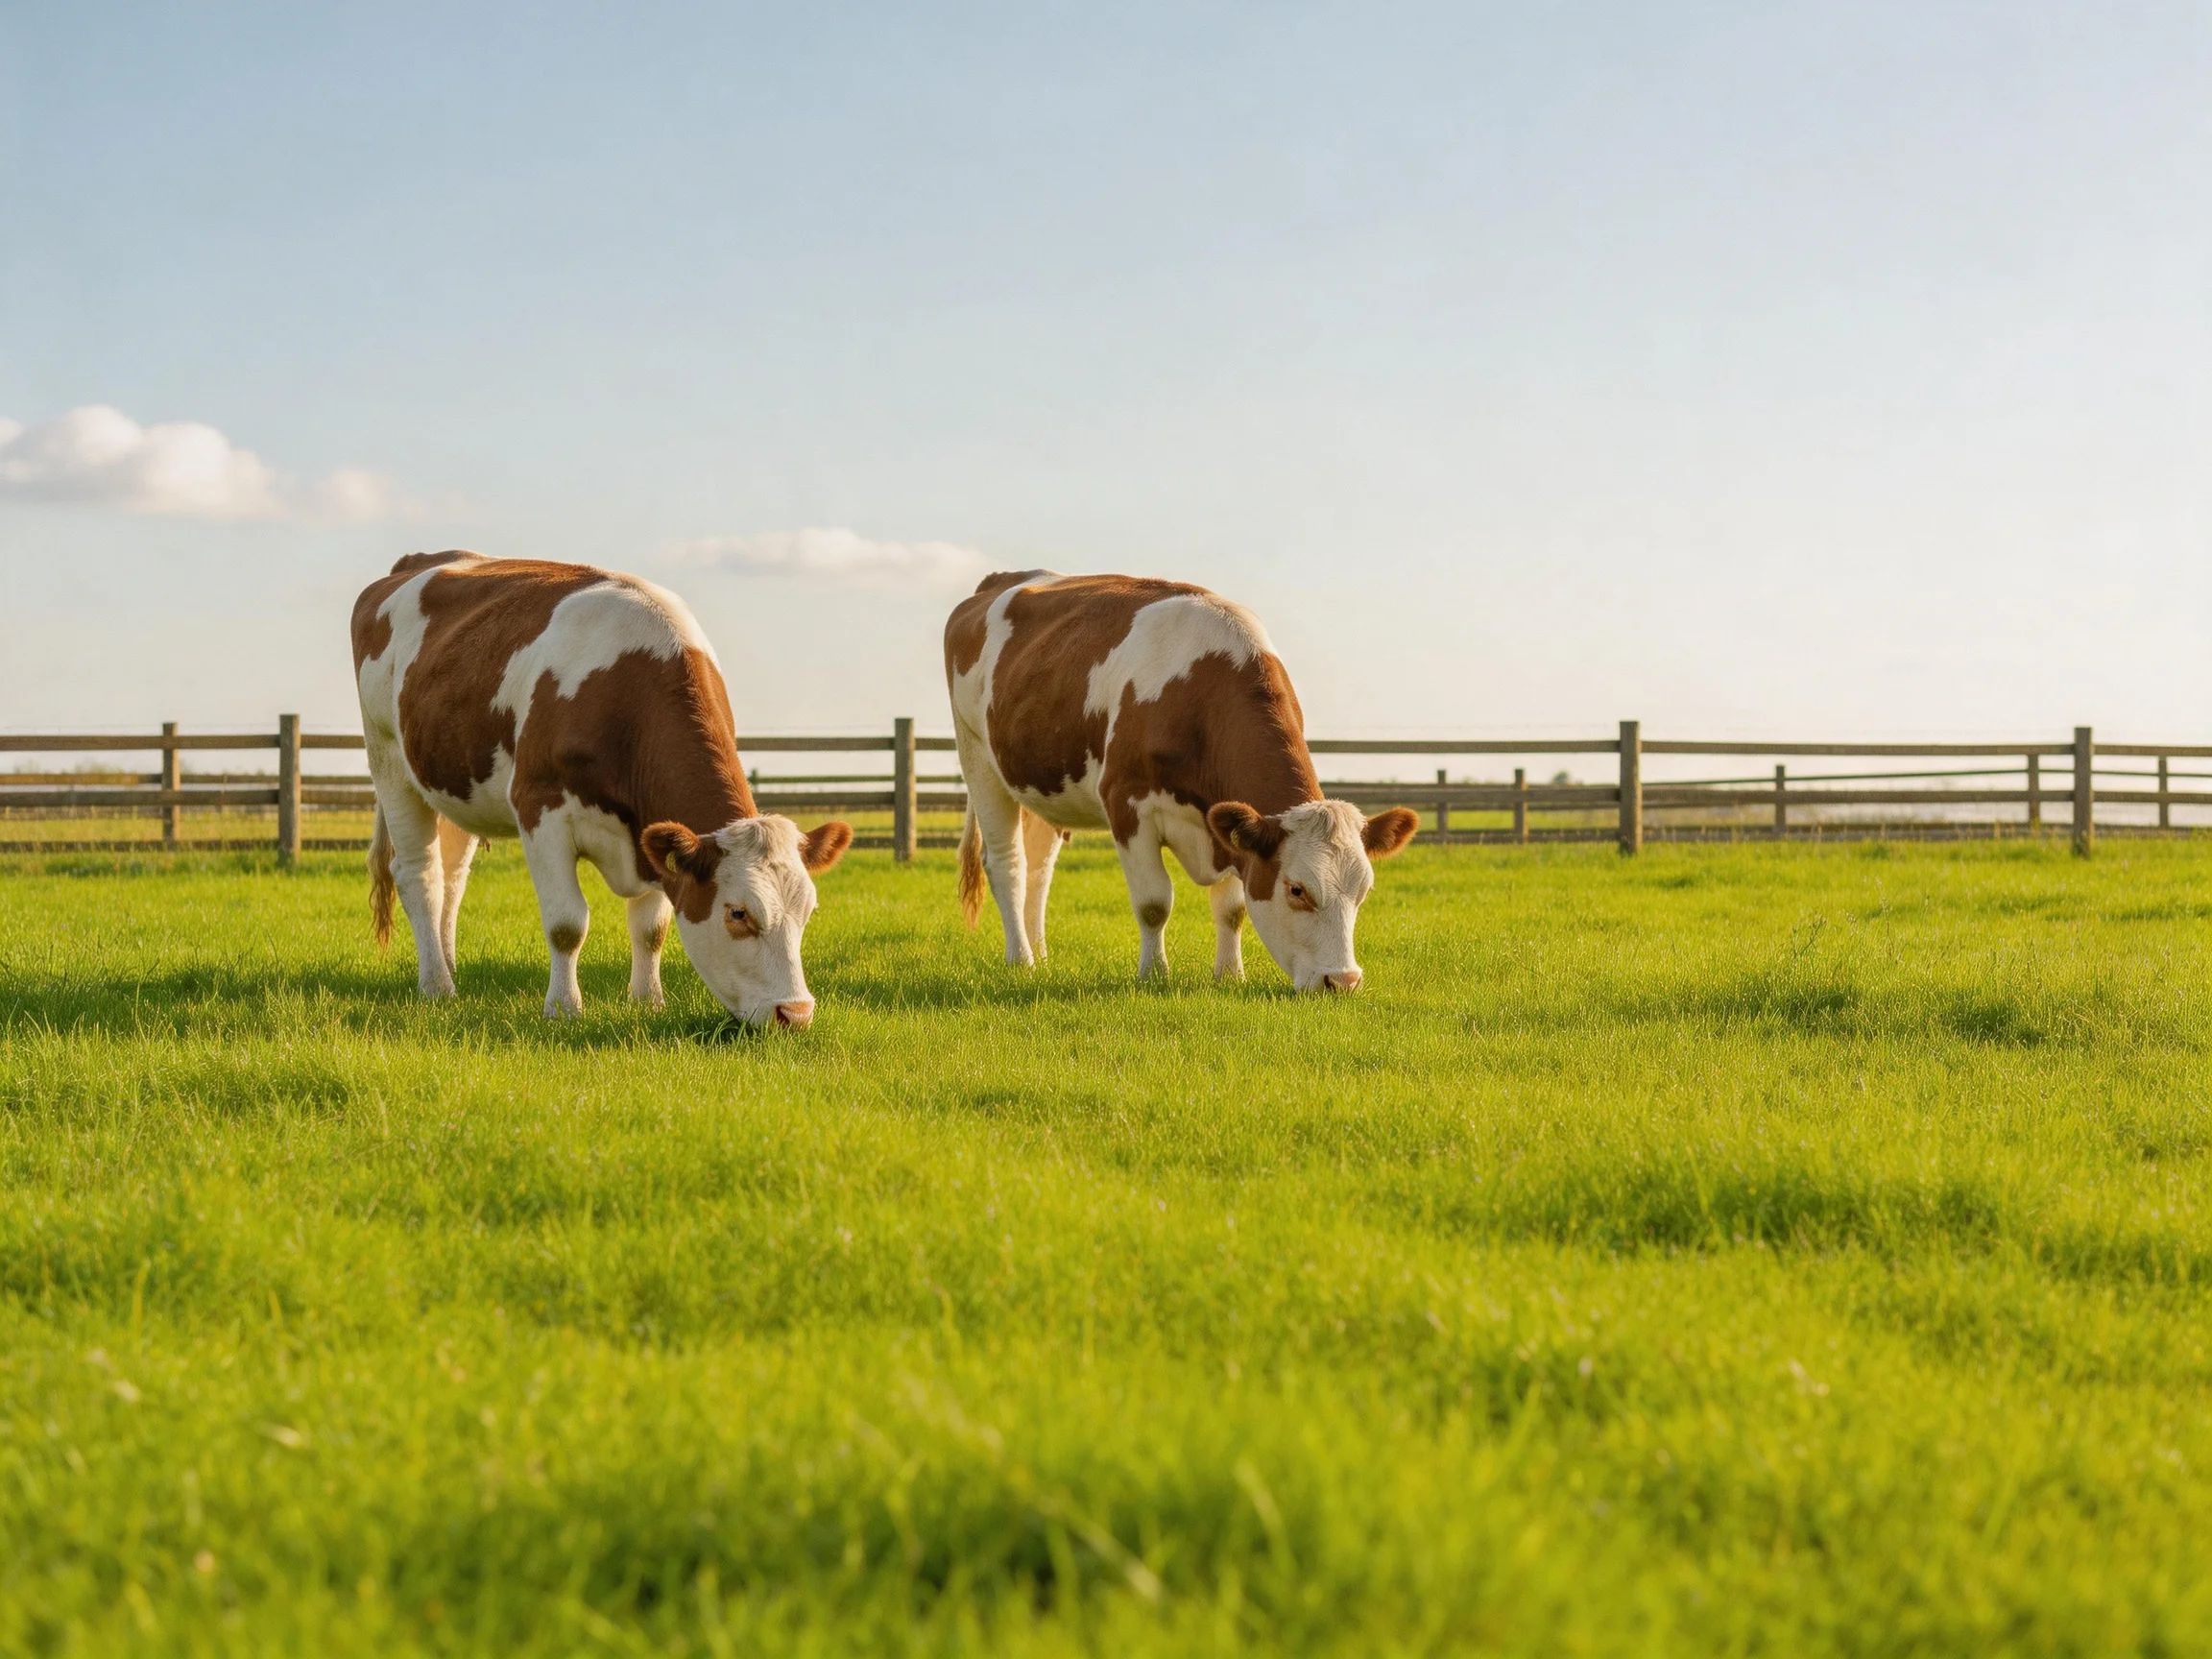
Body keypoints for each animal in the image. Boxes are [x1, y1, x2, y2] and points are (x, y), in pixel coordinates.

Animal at [350, 551, 851, 1026]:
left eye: (808, 911)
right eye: (738, 913)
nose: (796, 1013)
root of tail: (415, 563)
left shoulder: (653, 831)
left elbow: (651, 928)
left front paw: (648, 1002)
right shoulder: (540, 808)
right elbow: (567, 923)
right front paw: (563, 1008)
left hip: (456, 784)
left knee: (452, 878)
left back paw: (449, 967)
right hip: (389, 759)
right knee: (419, 876)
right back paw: (437, 986)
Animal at [944, 571, 1419, 992]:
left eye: (1364, 890)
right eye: (1296, 889)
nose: (1343, 981)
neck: (1200, 693)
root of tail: (1000, 581)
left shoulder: (1227, 822)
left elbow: (1232, 909)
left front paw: (1230, 975)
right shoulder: (1127, 804)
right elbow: (1155, 903)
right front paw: (1154, 975)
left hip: (1044, 786)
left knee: (1040, 870)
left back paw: (1041, 957)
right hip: (977, 757)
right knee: (1008, 864)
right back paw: (1021, 961)